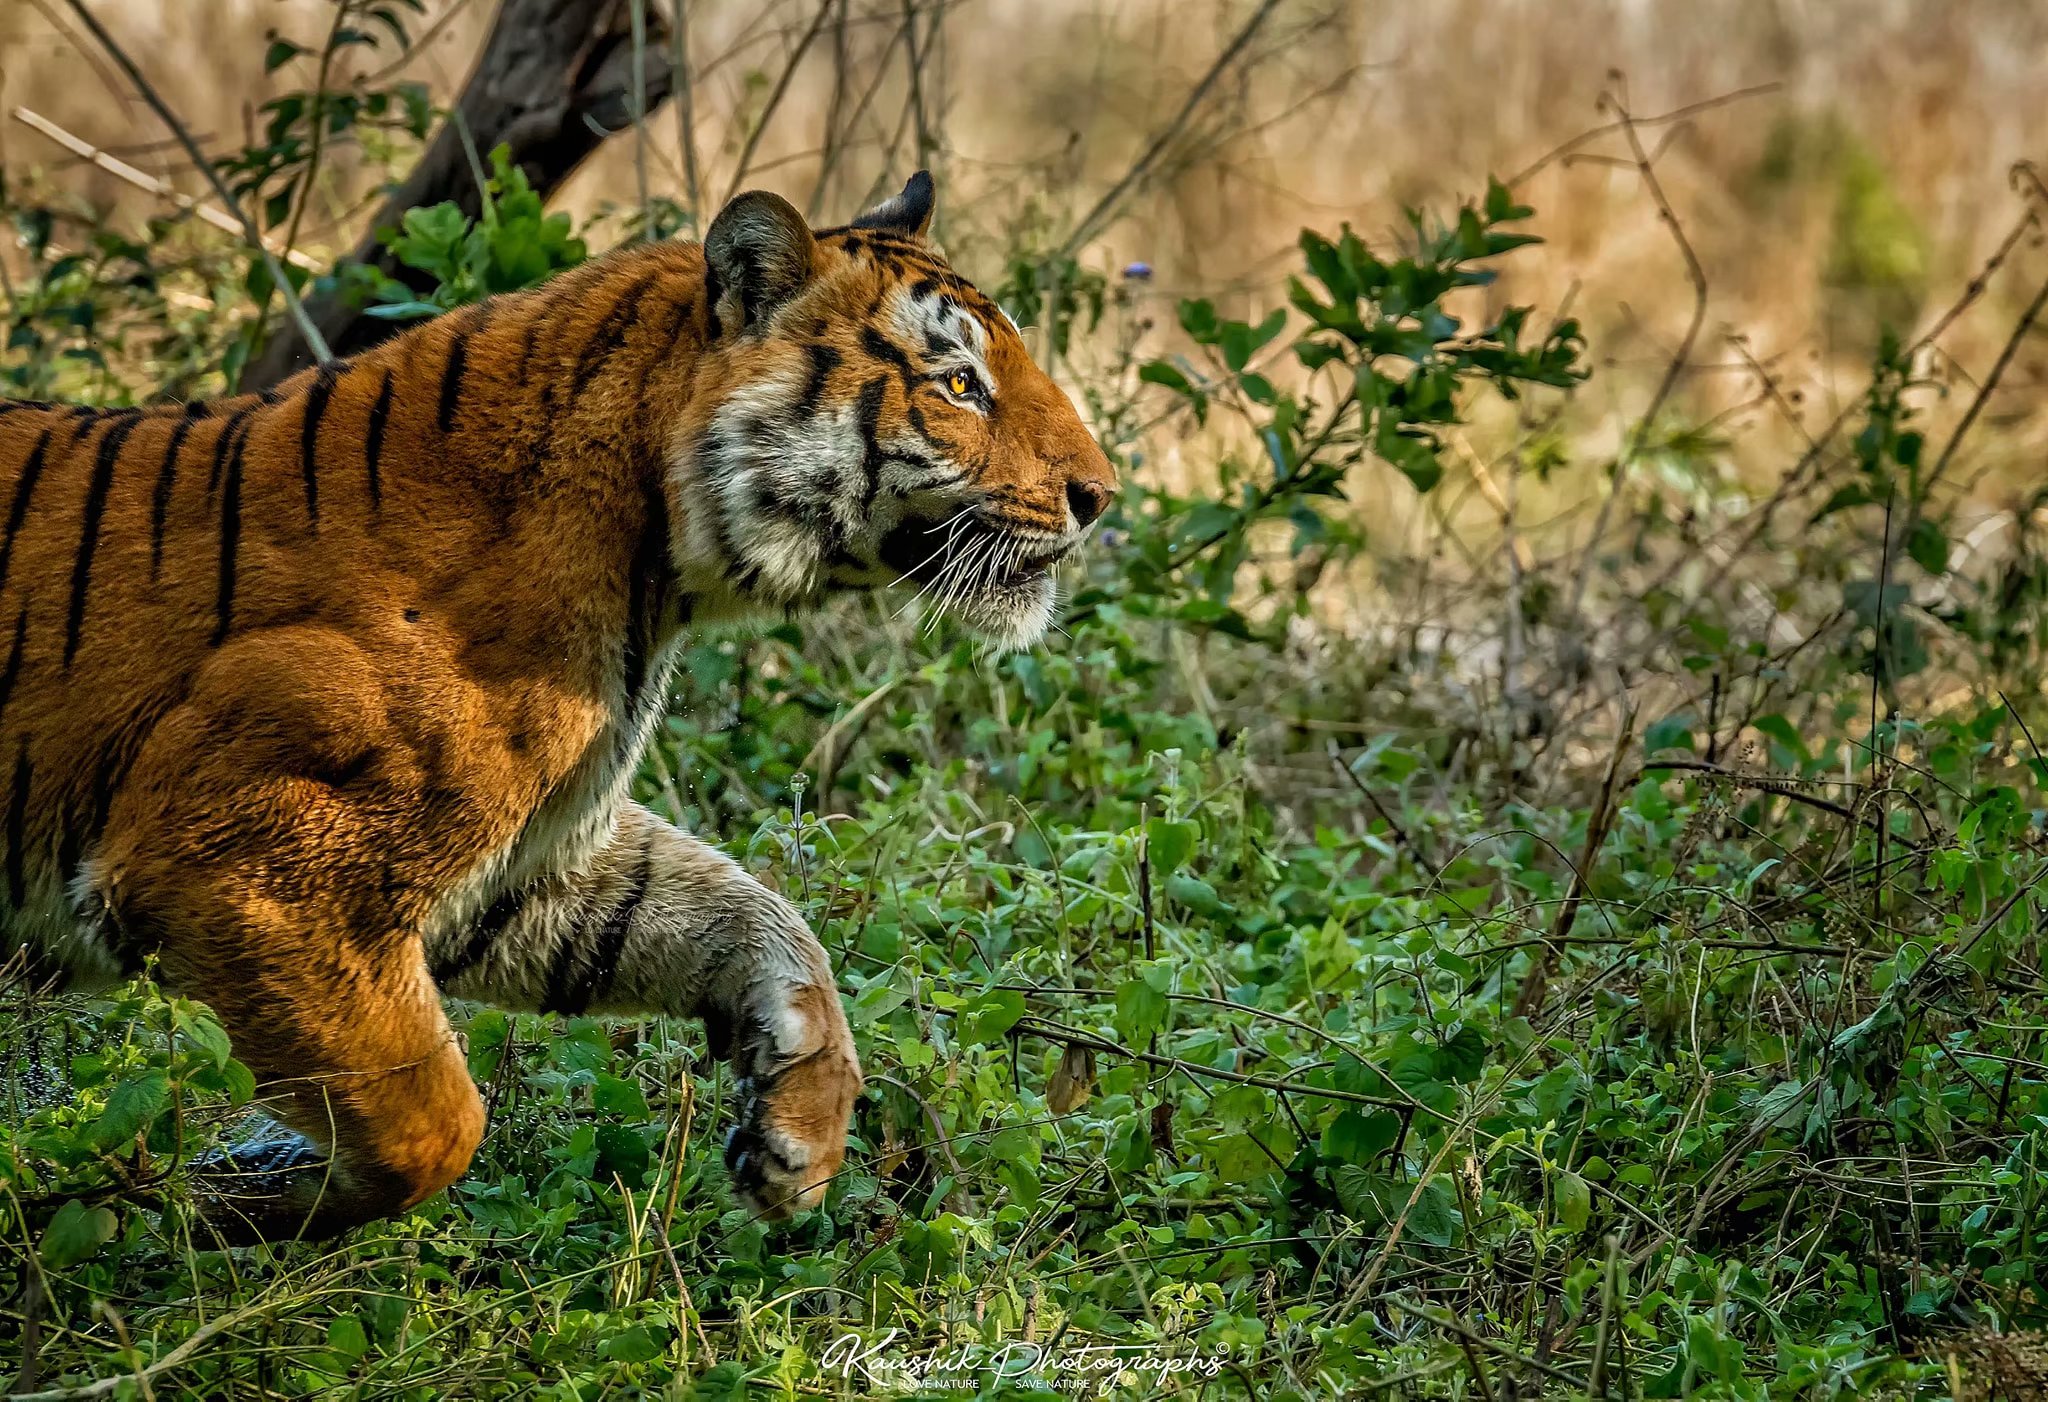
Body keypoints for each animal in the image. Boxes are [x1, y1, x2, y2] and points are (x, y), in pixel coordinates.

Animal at [0, 171, 1114, 1236]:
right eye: (960, 385)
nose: (1100, 496)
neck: (658, 561)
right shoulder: (248, 864)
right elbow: (436, 1122)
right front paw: (222, 1195)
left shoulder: (527, 866)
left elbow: (753, 913)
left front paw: (800, 1126)